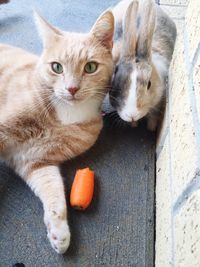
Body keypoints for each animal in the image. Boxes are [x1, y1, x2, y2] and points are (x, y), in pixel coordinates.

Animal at [0, 11, 114, 253]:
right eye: (57, 67)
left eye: (90, 67)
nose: (72, 88)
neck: (64, 115)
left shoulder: (37, 162)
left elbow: (55, 192)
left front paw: (59, 231)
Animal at [109, 0, 177, 130]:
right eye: (117, 82)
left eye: (149, 84)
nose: (132, 115)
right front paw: (134, 125)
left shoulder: (159, 101)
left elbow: (153, 116)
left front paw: (151, 128)